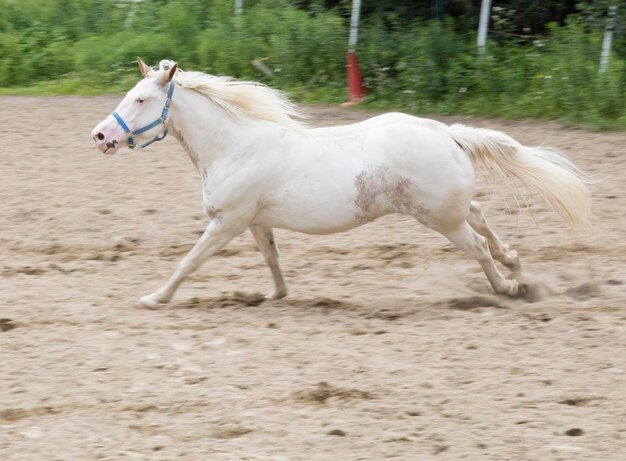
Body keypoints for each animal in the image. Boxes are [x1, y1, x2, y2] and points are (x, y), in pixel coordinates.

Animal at [91, 59, 588, 308]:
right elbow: (272, 259)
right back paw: (515, 263)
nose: (100, 136)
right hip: (448, 209)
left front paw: (154, 297)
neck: (234, 145)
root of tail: (446, 132)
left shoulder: (226, 223)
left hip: (439, 220)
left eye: (141, 99)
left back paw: (508, 289)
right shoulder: (254, 222)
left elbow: (188, 262)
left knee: (479, 246)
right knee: (482, 217)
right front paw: (275, 295)